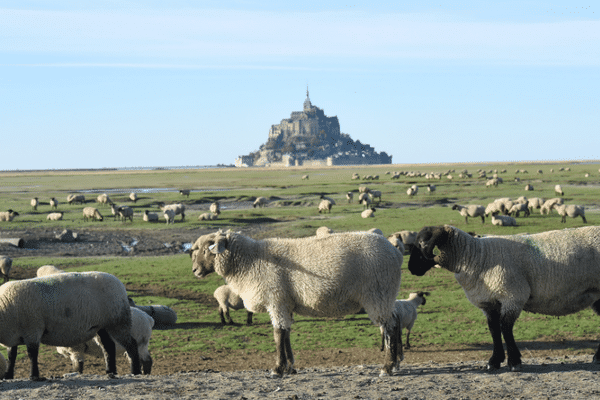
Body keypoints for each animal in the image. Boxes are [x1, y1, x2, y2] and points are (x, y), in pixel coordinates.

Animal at [0, 270, 142, 380]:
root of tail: (119, 283)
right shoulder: (13, 334)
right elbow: (11, 356)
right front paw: (8, 375)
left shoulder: (32, 330)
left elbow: (32, 355)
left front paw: (33, 375)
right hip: (103, 326)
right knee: (108, 346)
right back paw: (110, 371)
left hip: (119, 321)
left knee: (131, 344)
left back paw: (135, 371)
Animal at [192, 230, 406, 376]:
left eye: (206, 249)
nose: (194, 270)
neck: (251, 260)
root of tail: (395, 253)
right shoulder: (285, 302)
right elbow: (286, 333)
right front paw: (290, 367)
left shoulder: (276, 299)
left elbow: (278, 334)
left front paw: (277, 369)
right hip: (385, 296)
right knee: (395, 322)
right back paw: (396, 363)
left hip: (378, 293)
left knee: (389, 327)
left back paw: (387, 367)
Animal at [408, 225, 600, 372]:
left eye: (423, 243)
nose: (410, 269)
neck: (476, 255)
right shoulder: (489, 303)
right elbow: (494, 329)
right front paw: (494, 361)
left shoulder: (512, 297)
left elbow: (505, 328)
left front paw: (514, 362)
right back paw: (597, 357)